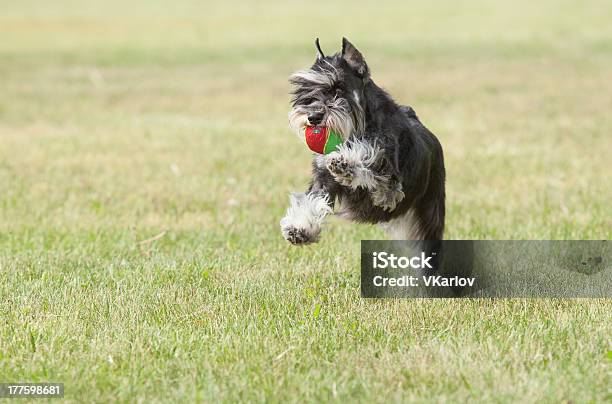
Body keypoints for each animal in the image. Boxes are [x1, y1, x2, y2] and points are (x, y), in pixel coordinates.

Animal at [280, 38, 444, 245]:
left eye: (339, 88)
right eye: (306, 90)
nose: (314, 117)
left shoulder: (389, 186)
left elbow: (367, 157)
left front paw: (345, 163)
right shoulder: (323, 179)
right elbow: (313, 200)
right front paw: (299, 228)